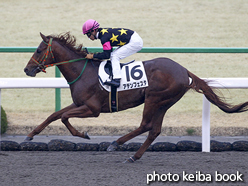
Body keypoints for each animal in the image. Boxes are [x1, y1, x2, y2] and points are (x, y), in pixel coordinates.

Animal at [24, 32, 248, 163]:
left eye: (39, 50)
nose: (27, 69)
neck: (83, 71)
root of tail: (184, 70)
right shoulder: (79, 103)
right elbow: (54, 115)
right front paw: (31, 135)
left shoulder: (92, 110)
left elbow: (63, 117)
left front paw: (84, 134)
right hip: (164, 103)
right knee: (154, 130)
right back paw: (134, 156)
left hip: (154, 99)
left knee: (145, 125)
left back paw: (116, 143)